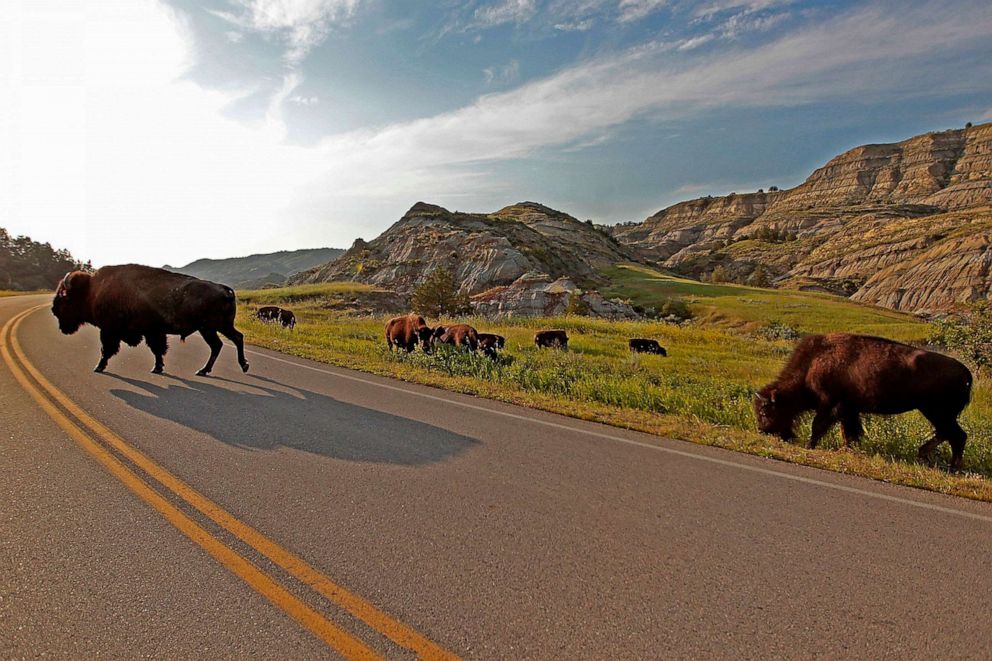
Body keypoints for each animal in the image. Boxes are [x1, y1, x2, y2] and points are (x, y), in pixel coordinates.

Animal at [50, 264, 252, 376]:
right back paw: (207, 370)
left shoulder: (110, 331)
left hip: (212, 327)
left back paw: (236, 366)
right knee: (225, 342)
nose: (53, 309)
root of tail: (225, 289)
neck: (92, 290)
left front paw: (98, 367)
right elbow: (158, 350)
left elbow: (107, 349)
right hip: (213, 328)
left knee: (230, 341)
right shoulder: (152, 332)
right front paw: (158, 368)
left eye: (64, 297)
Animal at [756, 336, 972, 470]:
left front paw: (810, 446)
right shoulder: (849, 408)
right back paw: (927, 455)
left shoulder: (829, 403)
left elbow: (818, 425)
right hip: (936, 412)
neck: (814, 362)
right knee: (948, 434)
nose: (762, 430)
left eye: (766, 412)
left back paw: (951, 467)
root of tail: (965, 371)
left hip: (936, 411)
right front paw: (847, 448)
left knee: (957, 435)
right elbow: (849, 430)